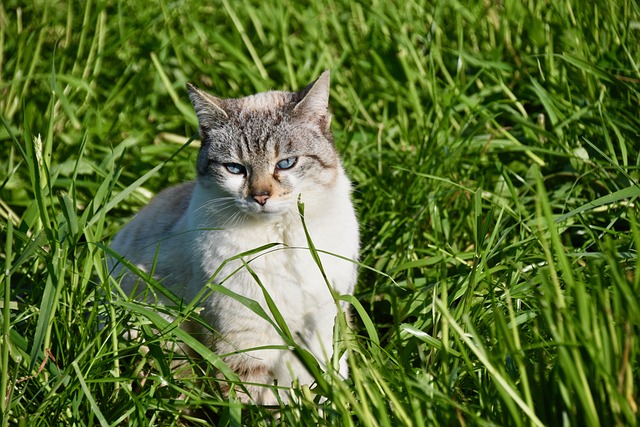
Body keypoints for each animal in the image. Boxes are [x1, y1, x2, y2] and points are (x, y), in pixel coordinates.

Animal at [110, 72, 360, 406]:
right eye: (235, 169)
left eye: (286, 163)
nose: (261, 197)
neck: (280, 239)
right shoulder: (242, 339)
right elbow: (250, 401)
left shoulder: (322, 324)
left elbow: (319, 387)